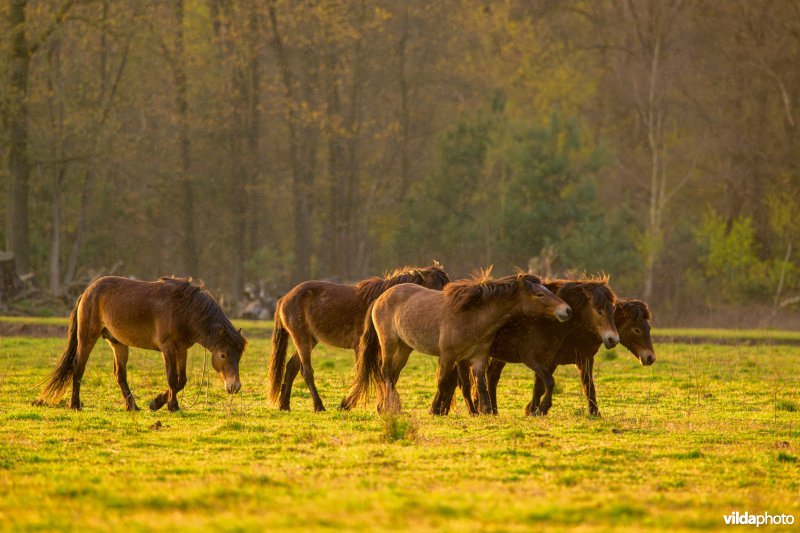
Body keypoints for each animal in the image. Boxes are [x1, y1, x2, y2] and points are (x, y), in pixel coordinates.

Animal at [35, 276, 247, 410]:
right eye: (223, 355)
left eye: (239, 356)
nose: (234, 387)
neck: (184, 309)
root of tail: (87, 292)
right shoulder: (168, 349)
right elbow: (172, 379)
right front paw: (169, 406)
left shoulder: (181, 350)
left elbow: (181, 381)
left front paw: (159, 403)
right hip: (87, 337)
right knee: (78, 368)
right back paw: (75, 405)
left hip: (118, 343)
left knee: (120, 375)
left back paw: (133, 406)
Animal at [268, 262, 450, 412]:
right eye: (436, 285)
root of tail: (285, 298)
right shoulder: (365, 348)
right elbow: (368, 374)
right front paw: (351, 404)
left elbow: (390, 373)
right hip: (302, 338)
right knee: (306, 370)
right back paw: (318, 406)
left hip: (310, 340)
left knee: (291, 367)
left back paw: (284, 405)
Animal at [340, 270, 572, 416]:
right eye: (539, 294)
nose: (567, 310)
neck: (471, 315)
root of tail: (381, 298)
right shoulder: (448, 356)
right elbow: (443, 382)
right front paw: (434, 409)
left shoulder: (478, 357)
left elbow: (481, 383)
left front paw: (485, 411)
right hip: (389, 343)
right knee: (385, 371)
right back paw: (394, 406)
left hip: (405, 348)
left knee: (393, 373)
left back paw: (383, 407)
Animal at [456, 276, 620, 418]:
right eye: (599, 311)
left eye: (613, 309)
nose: (613, 339)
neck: (545, 322)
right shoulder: (532, 359)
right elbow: (547, 382)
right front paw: (539, 409)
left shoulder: (556, 359)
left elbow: (543, 384)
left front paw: (535, 409)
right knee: (467, 384)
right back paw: (474, 411)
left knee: (490, 376)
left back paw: (493, 410)